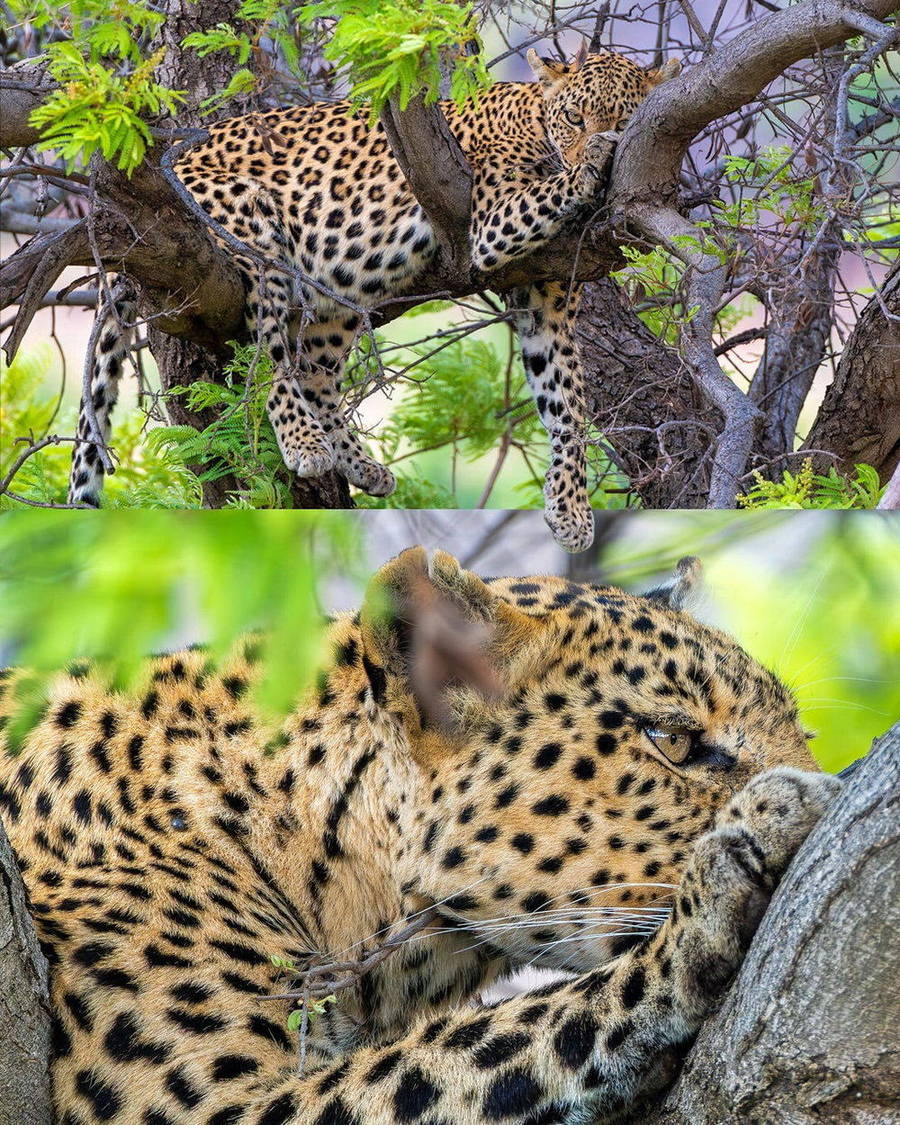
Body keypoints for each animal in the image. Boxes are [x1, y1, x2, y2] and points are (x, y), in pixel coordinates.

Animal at [67, 49, 681, 551]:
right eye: (574, 117)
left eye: (625, 118)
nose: (598, 139)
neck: (535, 119)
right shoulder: (491, 222)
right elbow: (554, 188)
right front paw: (592, 161)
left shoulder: (548, 305)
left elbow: (568, 406)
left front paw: (571, 509)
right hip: (250, 225)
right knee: (268, 357)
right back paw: (304, 442)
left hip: (337, 297)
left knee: (313, 372)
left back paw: (360, 464)